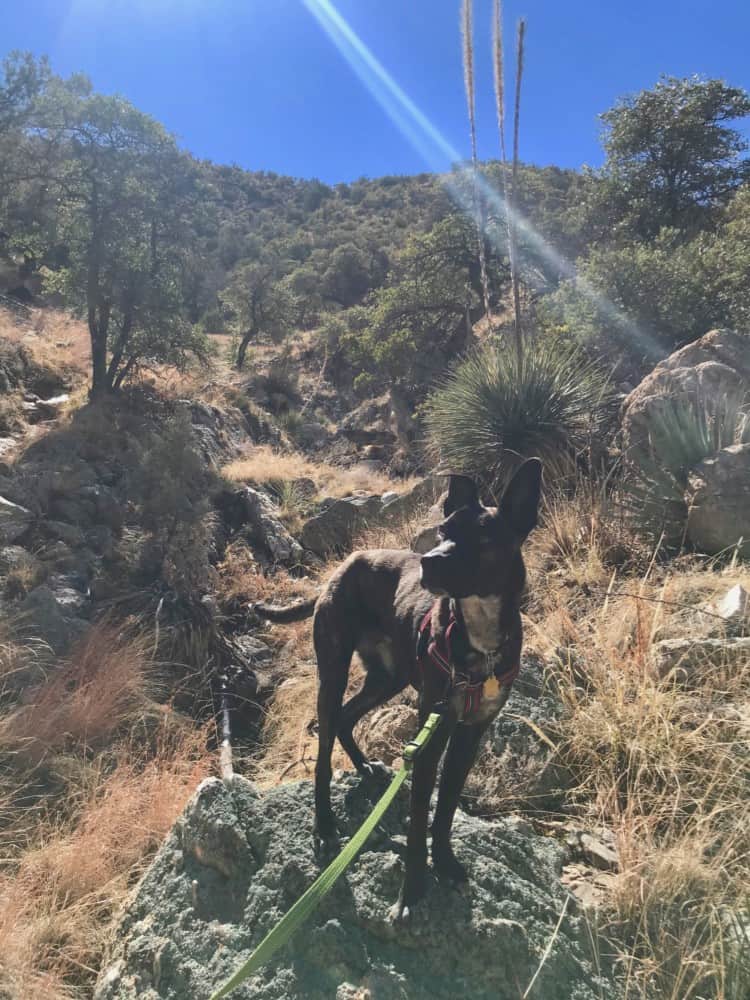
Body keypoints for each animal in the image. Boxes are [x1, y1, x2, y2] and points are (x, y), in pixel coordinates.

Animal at [258, 460, 540, 920]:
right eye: (443, 530)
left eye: (484, 536)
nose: (428, 562)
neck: (478, 639)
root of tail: (342, 567)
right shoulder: (432, 729)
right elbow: (419, 823)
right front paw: (411, 894)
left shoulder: (469, 734)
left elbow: (445, 812)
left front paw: (445, 862)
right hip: (334, 670)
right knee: (324, 746)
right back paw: (324, 825)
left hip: (387, 678)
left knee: (345, 718)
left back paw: (365, 768)